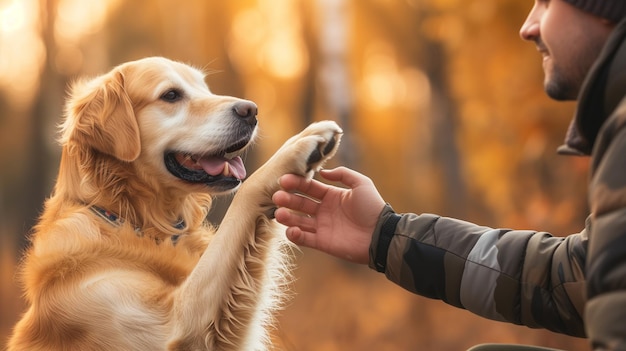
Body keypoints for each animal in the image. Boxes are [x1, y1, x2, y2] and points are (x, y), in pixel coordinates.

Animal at [7, 56, 342, 350]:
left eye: (205, 89)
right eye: (171, 95)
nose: (251, 110)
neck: (132, 220)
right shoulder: (174, 324)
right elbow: (245, 194)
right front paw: (300, 145)